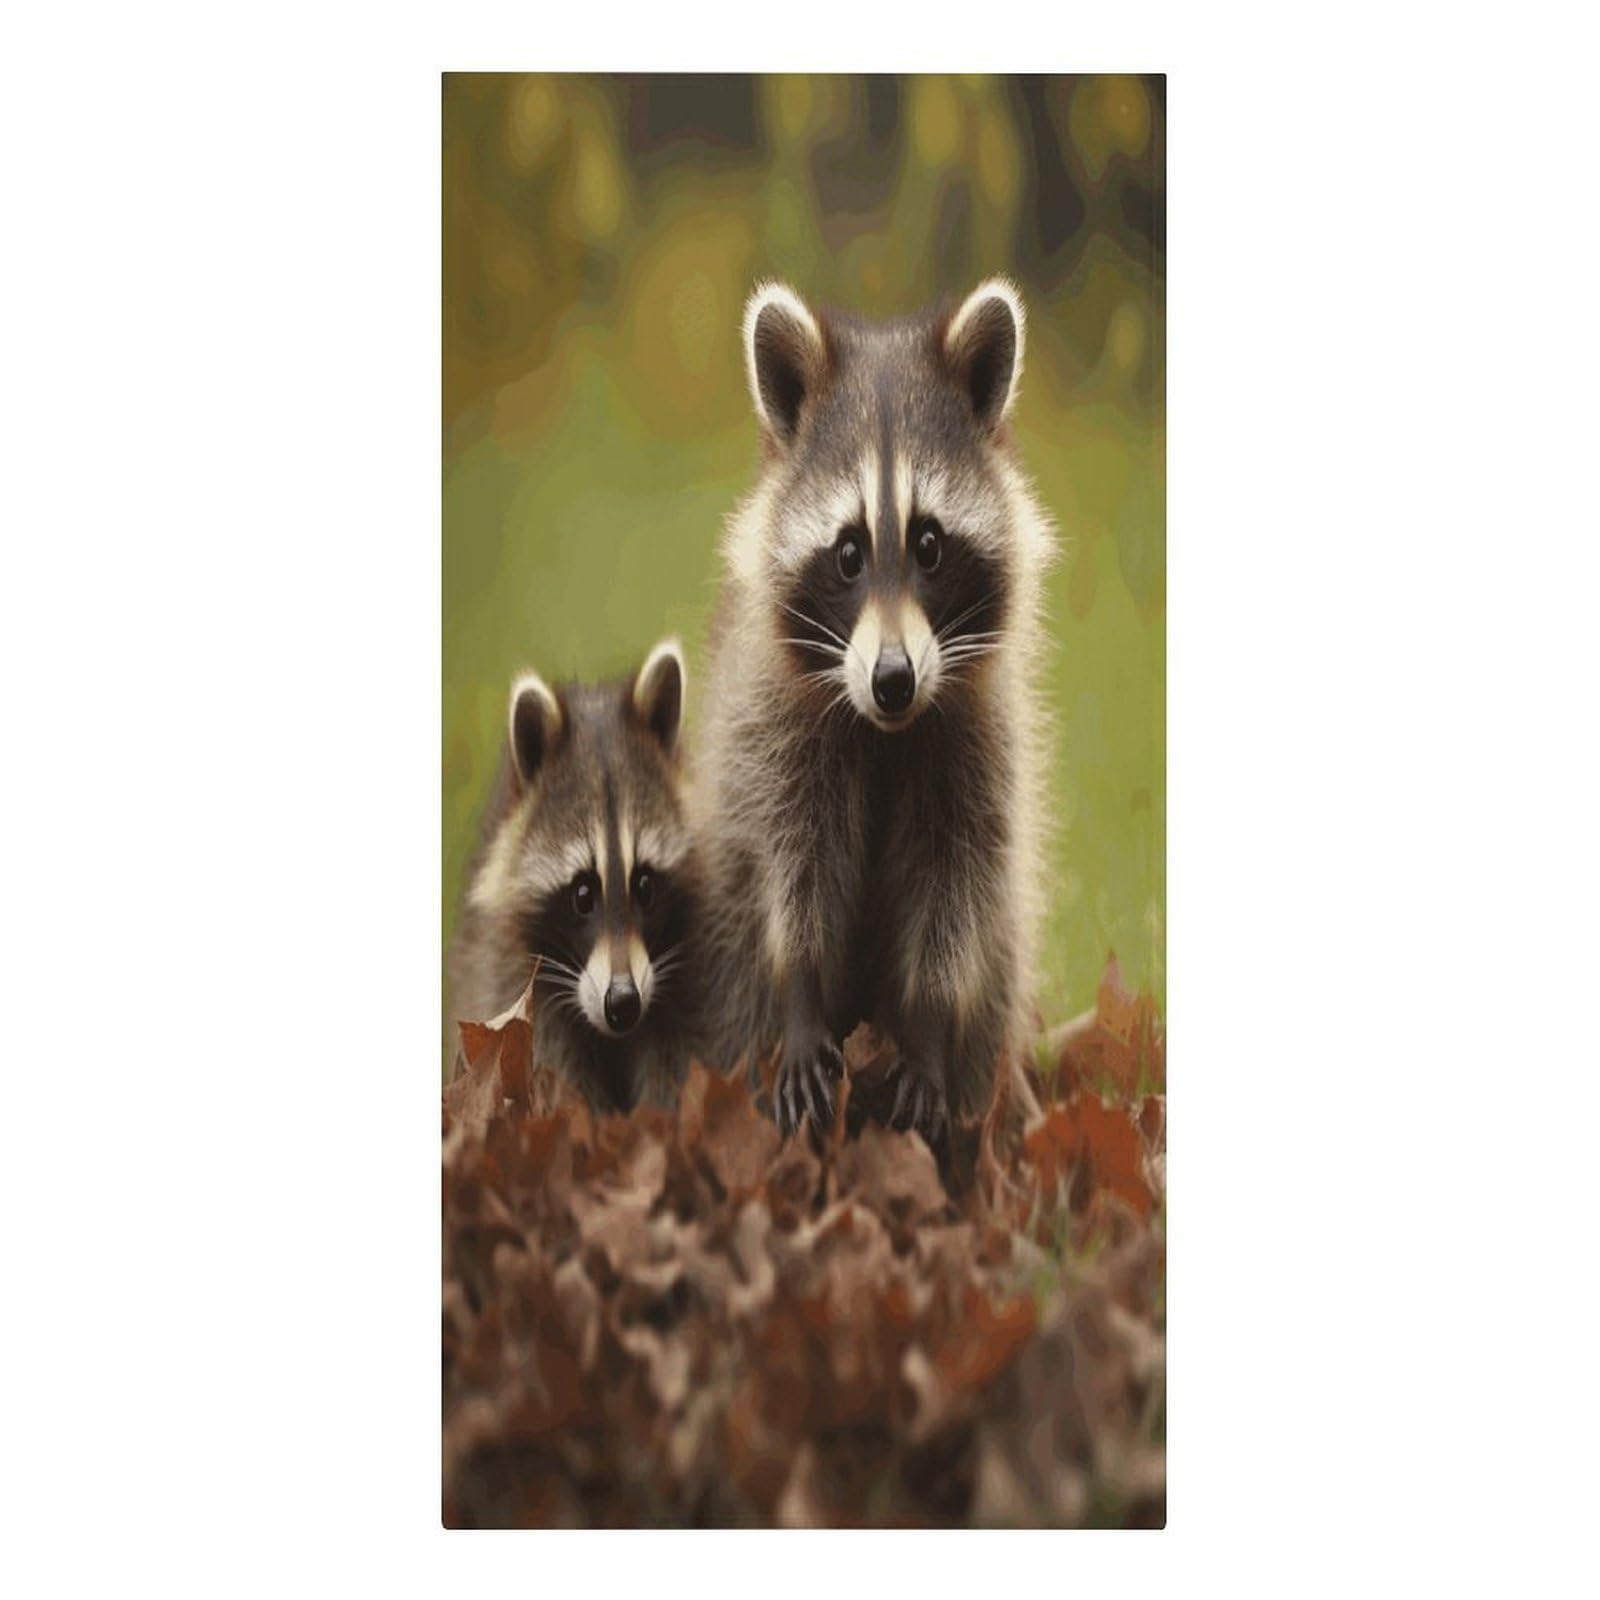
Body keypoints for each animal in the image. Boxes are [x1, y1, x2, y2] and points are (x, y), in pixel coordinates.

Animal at [692, 279, 1054, 1141]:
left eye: (929, 545)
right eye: (848, 553)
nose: (893, 679)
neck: (886, 729)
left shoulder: (978, 745)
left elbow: (955, 890)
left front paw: (926, 1029)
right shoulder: (774, 732)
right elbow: (794, 871)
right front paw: (799, 993)